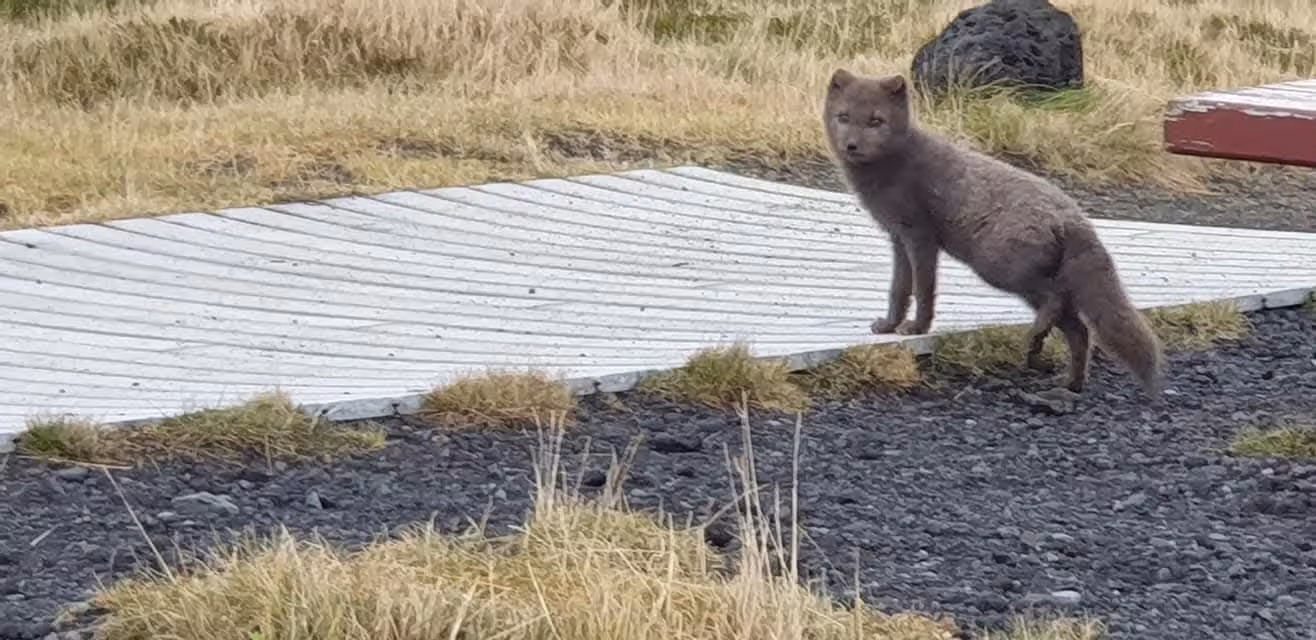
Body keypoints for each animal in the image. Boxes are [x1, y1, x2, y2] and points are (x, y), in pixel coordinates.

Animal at [821, 68, 1165, 398]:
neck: (893, 167)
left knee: (1056, 300)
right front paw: (889, 325)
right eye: (844, 117)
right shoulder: (897, 238)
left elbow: (923, 289)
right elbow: (899, 289)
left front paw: (917, 328)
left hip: (997, 267)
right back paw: (1067, 381)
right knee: (1079, 330)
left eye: (876, 121)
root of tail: (1073, 217)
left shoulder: (920, 237)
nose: (851, 145)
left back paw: (1037, 343)